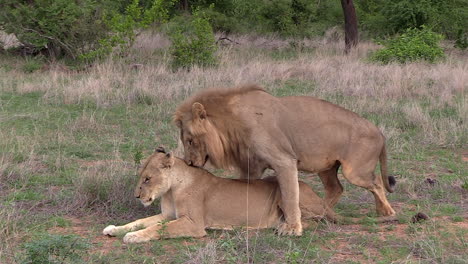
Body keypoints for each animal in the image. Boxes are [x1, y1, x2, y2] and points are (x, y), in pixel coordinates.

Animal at [104, 147, 382, 242]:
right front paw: (115, 229)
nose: (137, 196)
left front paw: (133, 237)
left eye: (147, 179)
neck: (172, 189)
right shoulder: (169, 215)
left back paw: (282, 226)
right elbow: (141, 221)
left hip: (289, 193)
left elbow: (158, 229)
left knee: (314, 221)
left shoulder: (193, 224)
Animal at [174, 85, 396, 236]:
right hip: (326, 167)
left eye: (190, 140)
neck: (232, 126)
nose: (189, 163)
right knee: (336, 188)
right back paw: (325, 210)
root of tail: (380, 132)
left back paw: (386, 212)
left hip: (354, 171)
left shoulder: (284, 161)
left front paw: (292, 228)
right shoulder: (251, 166)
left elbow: (289, 194)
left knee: (376, 183)